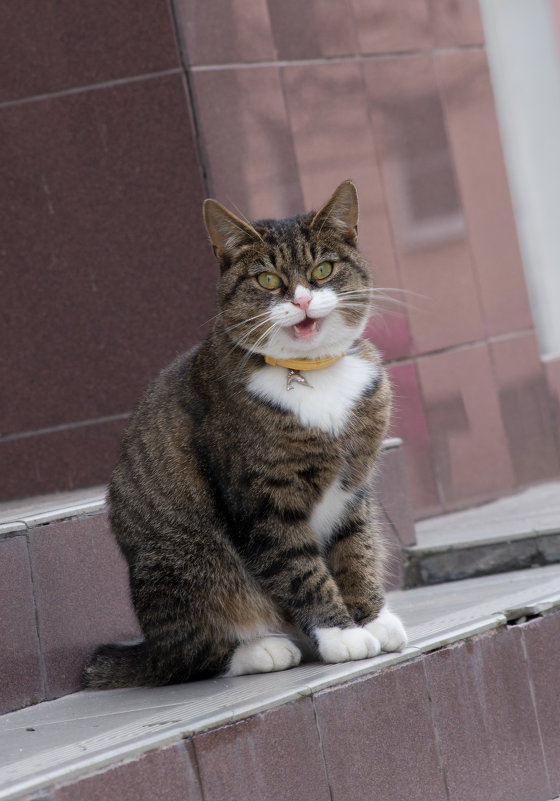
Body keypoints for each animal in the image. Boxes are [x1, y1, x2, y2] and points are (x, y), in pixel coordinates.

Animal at [83, 181, 406, 688]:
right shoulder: (263, 502)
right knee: (187, 657)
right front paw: (342, 635)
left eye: (323, 269)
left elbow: (356, 549)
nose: (302, 300)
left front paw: (371, 619)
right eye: (268, 281)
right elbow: (301, 569)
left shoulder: (355, 487)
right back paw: (263, 649)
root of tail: (148, 646)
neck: (313, 375)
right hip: (189, 561)